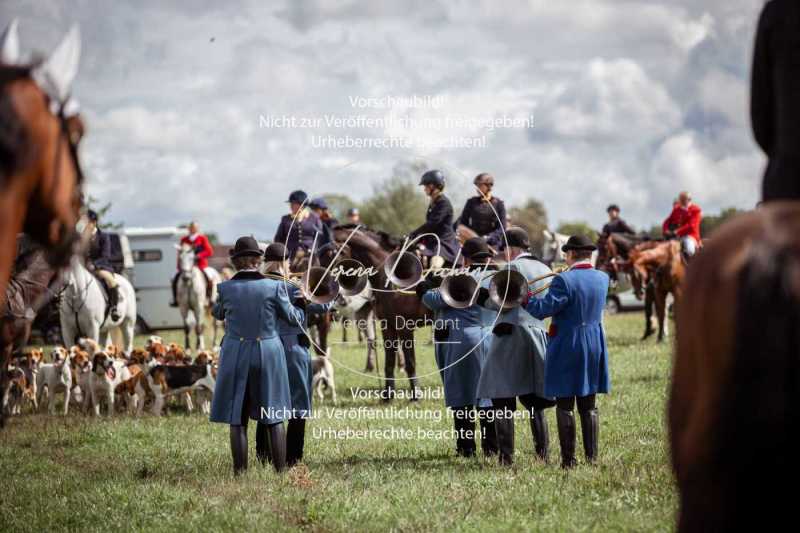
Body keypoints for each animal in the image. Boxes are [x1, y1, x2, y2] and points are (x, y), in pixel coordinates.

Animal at [322, 224, 434, 400]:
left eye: (330, 255)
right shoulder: (387, 326)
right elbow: (389, 361)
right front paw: (387, 396)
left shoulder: (405, 327)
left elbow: (410, 362)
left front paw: (415, 395)